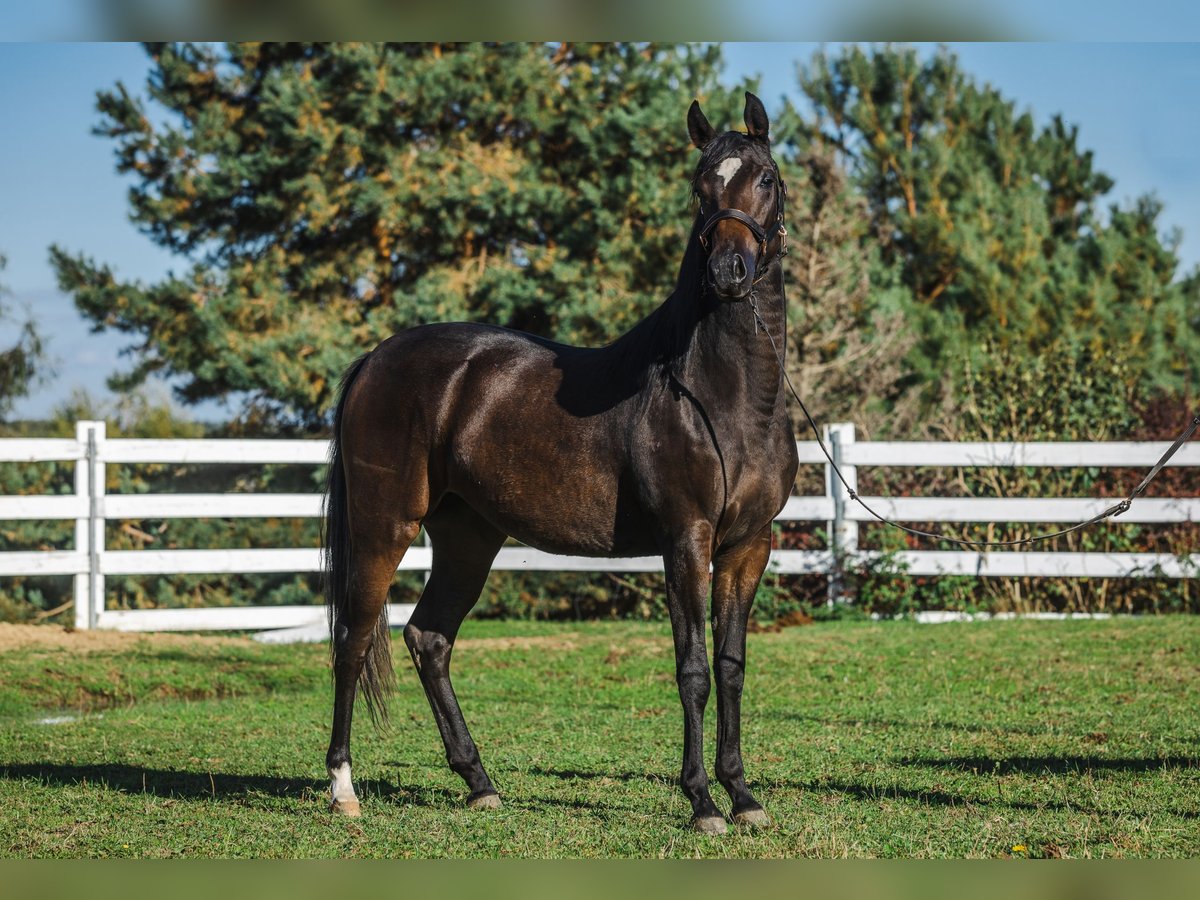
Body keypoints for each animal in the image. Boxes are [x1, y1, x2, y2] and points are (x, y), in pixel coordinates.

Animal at [324, 93, 801, 840]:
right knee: (353, 637)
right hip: (383, 527)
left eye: (766, 178)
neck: (720, 394)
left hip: (468, 537)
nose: (728, 273)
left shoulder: (749, 545)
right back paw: (344, 789)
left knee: (429, 638)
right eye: (700, 186)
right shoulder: (685, 540)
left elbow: (730, 665)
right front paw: (701, 802)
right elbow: (692, 669)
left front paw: (743, 796)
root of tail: (376, 358)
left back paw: (480, 783)